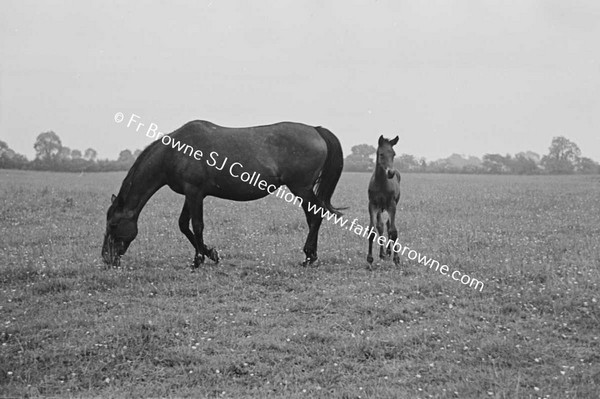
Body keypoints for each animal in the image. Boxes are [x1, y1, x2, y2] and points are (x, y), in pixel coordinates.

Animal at [101, 119, 344, 268]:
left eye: (113, 225)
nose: (106, 258)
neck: (173, 152)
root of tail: (315, 129)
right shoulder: (191, 194)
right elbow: (183, 225)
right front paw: (210, 253)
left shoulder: (195, 193)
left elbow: (197, 225)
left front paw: (199, 259)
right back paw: (310, 255)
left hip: (301, 189)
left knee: (315, 216)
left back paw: (309, 257)